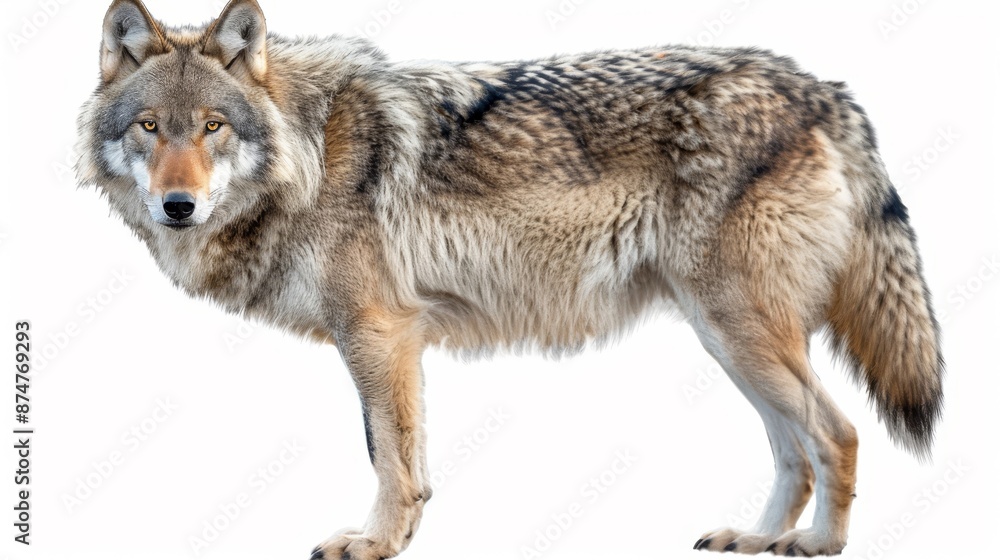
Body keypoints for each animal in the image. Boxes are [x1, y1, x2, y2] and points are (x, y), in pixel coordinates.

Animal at [76, 0, 944, 557]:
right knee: (795, 449)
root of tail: (825, 88)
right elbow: (402, 457)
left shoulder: (379, 333)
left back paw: (818, 545)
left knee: (839, 432)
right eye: (150, 127)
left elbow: (388, 456)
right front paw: (397, 538)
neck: (310, 152)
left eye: (212, 127)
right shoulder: (389, 340)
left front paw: (376, 542)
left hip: (743, 333)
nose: (178, 206)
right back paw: (762, 538)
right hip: (728, 341)